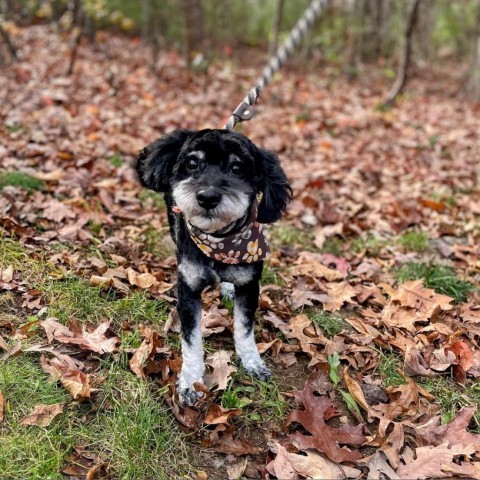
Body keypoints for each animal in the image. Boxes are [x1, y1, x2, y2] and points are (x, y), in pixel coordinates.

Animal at [136, 128, 292, 404]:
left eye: (237, 168)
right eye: (192, 163)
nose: (208, 197)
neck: (219, 241)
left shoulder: (250, 285)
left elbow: (244, 329)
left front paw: (252, 362)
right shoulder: (189, 290)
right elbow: (191, 341)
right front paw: (190, 382)